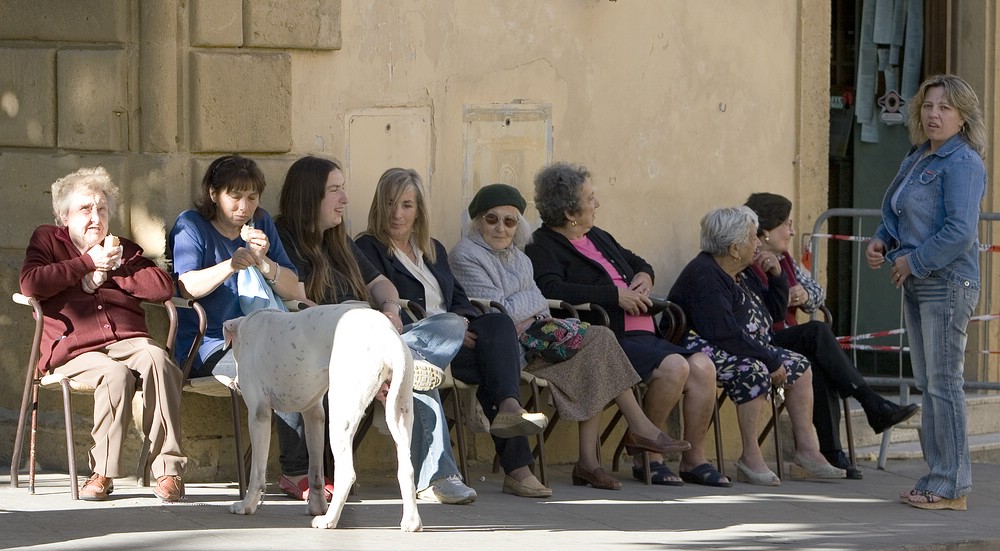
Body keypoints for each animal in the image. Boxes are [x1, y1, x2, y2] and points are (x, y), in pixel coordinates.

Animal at [223, 304, 422, 532]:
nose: (235, 383)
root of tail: (388, 337)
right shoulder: (314, 415)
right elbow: (315, 471)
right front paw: (316, 506)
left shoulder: (259, 415)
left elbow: (257, 472)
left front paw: (246, 505)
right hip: (400, 413)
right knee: (407, 469)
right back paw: (411, 522)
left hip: (340, 419)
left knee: (346, 473)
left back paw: (329, 520)